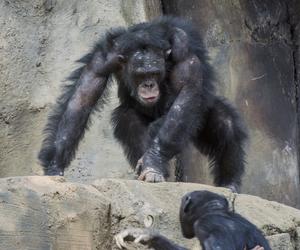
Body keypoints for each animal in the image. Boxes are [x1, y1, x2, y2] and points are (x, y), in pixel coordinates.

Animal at [38, 16, 247, 191]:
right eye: (140, 75)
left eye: (154, 73)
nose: (148, 85)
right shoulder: (102, 58)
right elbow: (83, 96)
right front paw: (54, 165)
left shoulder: (183, 50)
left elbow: (186, 94)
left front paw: (153, 161)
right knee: (128, 119)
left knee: (224, 123)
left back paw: (229, 183)